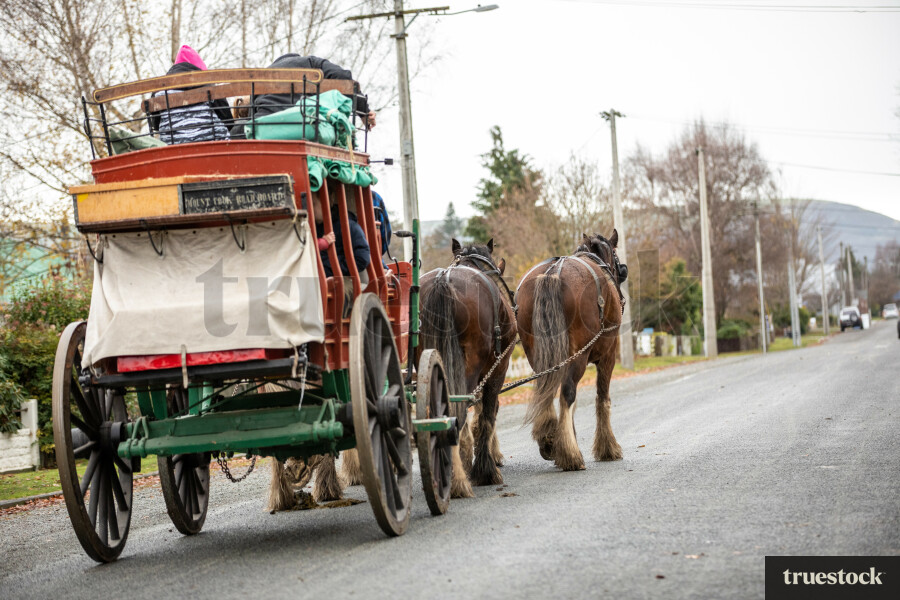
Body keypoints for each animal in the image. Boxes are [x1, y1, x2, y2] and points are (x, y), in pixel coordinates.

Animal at [419, 239, 517, 494]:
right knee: (458, 411)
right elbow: (487, 415)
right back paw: (458, 480)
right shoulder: (498, 369)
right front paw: (485, 470)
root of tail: (443, 280)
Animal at [516, 231, 626, 471]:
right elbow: (602, 398)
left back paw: (549, 441)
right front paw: (607, 448)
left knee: (545, 391)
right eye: (618, 263)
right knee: (567, 393)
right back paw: (571, 455)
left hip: (538, 354)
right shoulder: (608, 356)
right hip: (579, 356)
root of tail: (552, 274)